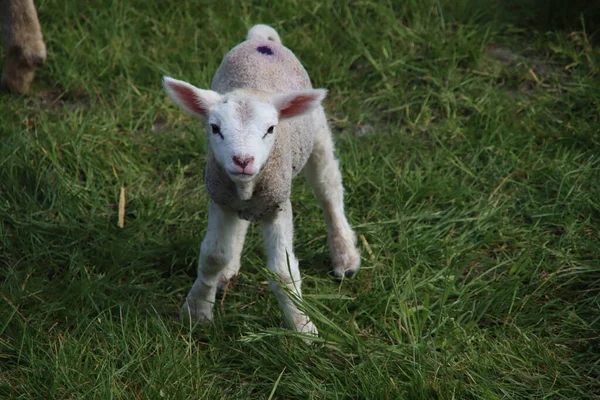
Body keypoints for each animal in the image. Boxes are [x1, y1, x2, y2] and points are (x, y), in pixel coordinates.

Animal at [163, 24, 360, 338]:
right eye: (214, 128)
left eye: (270, 129)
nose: (243, 160)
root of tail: (260, 39)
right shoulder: (220, 197)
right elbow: (213, 256)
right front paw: (197, 310)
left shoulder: (278, 204)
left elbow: (283, 271)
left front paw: (302, 327)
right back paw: (229, 268)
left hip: (317, 131)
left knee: (329, 189)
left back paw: (345, 256)